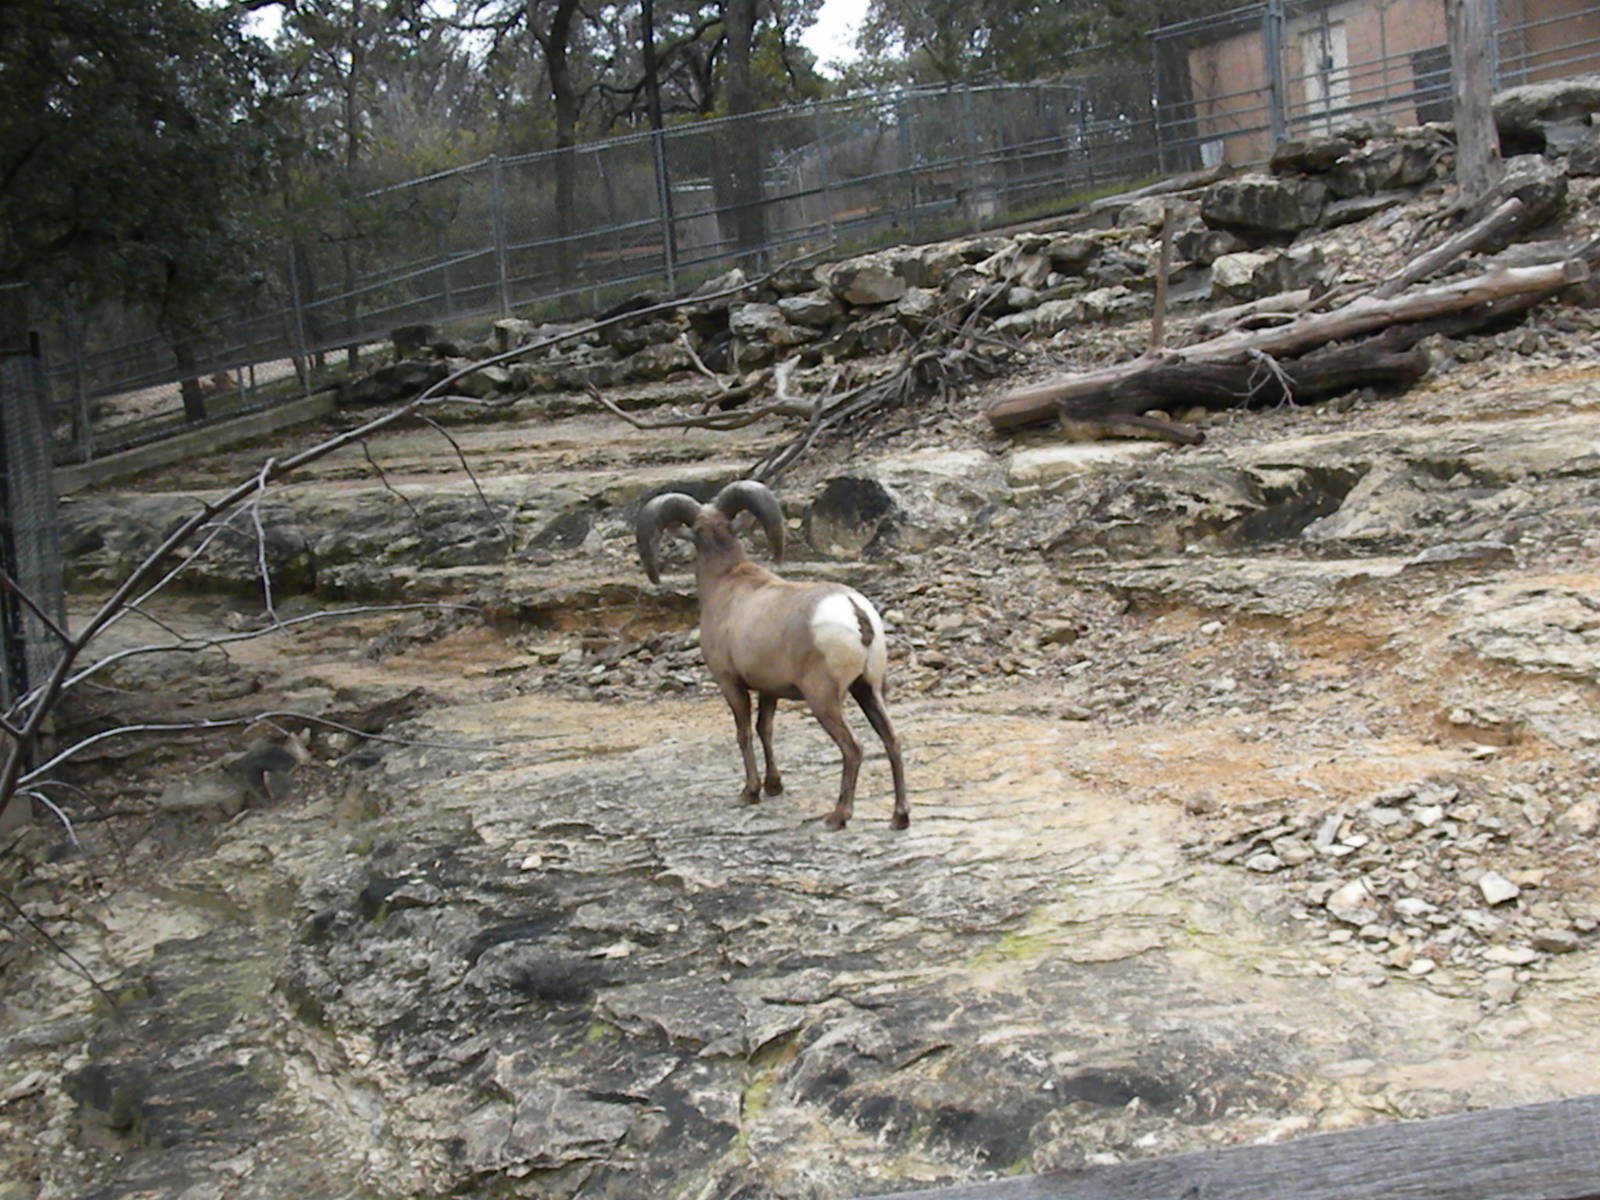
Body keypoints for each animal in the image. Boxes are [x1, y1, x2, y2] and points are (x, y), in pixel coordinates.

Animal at [635, 479, 909, 830]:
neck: (726, 583)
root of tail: (855, 612)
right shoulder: (769, 690)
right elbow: (764, 729)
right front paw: (774, 786)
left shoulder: (731, 684)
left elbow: (743, 733)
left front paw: (750, 792)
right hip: (869, 690)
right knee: (892, 740)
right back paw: (899, 817)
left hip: (824, 699)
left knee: (853, 748)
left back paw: (838, 816)